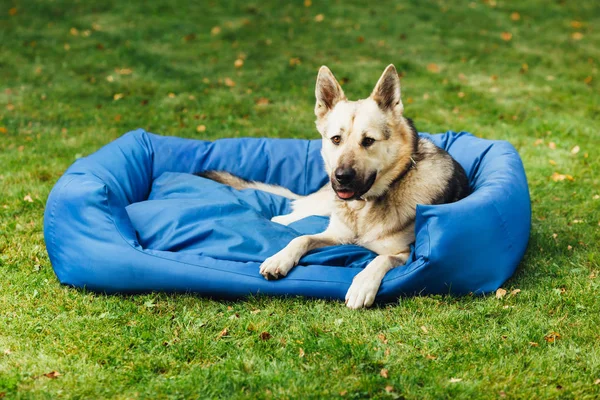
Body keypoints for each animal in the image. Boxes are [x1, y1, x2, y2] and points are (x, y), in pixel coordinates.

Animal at [200, 65, 468, 310]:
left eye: (368, 141)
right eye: (336, 139)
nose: (341, 177)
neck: (362, 207)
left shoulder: (403, 254)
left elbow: (379, 260)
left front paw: (362, 284)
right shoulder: (335, 236)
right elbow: (302, 238)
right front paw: (280, 259)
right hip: (322, 204)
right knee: (296, 212)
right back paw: (281, 220)